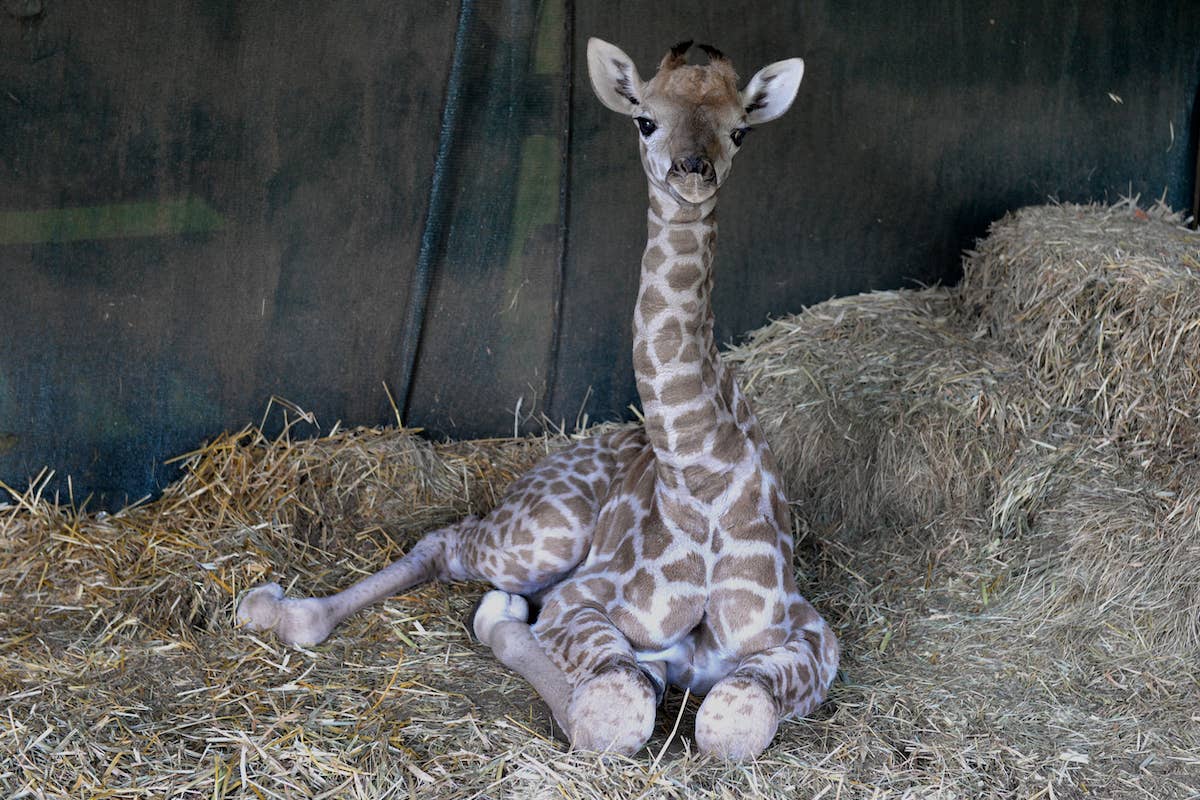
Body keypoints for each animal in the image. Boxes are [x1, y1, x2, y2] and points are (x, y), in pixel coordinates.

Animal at [237, 38, 839, 761]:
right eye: (645, 119)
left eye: (740, 130)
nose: (693, 171)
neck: (701, 474)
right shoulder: (582, 602)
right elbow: (614, 711)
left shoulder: (812, 635)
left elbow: (732, 717)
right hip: (549, 529)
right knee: (446, 542)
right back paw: (272, 609)